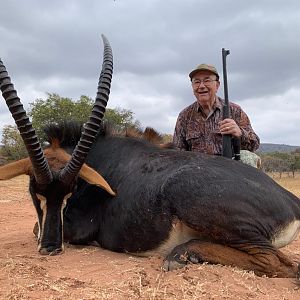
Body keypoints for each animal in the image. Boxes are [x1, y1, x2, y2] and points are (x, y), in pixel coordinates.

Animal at [0, 38, 300, 282]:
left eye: (70, 190)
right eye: (33, 189)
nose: (50, 247)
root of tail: (291, 200)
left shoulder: (81, 229)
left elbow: (35, 226)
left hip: (191, 194)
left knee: (281, 264)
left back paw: (181, 254)